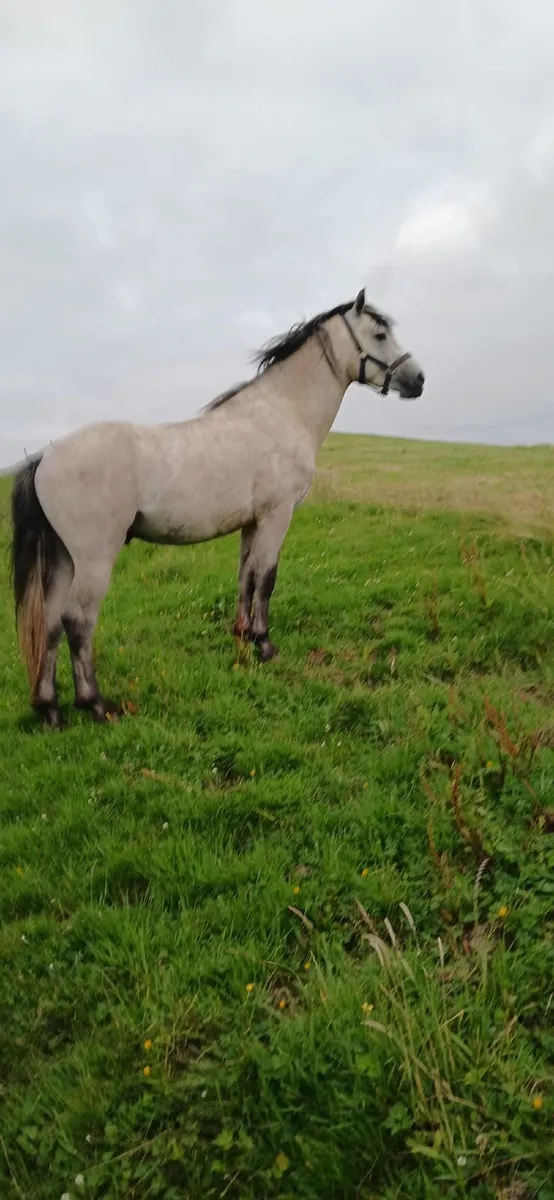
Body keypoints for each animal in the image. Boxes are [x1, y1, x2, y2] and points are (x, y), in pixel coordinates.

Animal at [8, 288, 425, 728]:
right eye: (379, 334)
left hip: (62, 559)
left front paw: (244, 636)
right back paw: (95, 703)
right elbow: (267, 579)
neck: (281, 413)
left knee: (51, 624)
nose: (418, 380)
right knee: (78, 621)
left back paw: (50, 708)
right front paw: (265, 646)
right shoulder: (277, 516)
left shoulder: (252, 523)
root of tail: (45, 458)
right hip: (93, 559)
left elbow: (246, 577)